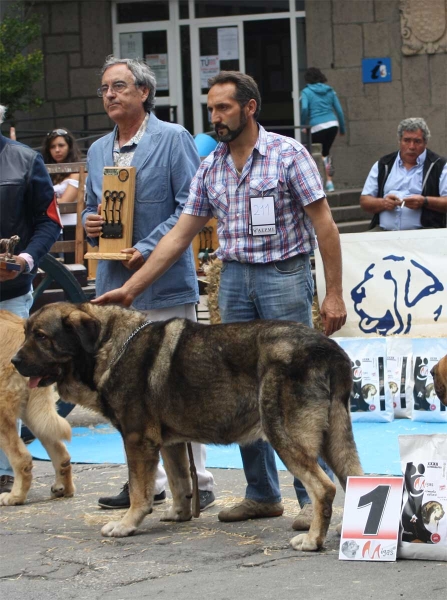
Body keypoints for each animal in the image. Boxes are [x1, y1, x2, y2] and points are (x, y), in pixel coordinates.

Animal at [13, 302, 364, 552]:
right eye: (26, 332)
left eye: (41, 336)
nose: (14, 361)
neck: (109, 347)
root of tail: (328, 348)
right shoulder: (169, 443)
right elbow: (179, 481)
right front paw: (179, 513)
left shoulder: (137, 440)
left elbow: (139, 490)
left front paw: (127, 524)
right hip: (335, 439)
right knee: (353, 479)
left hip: (284, 435)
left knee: (324, 488)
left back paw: (313, 540)